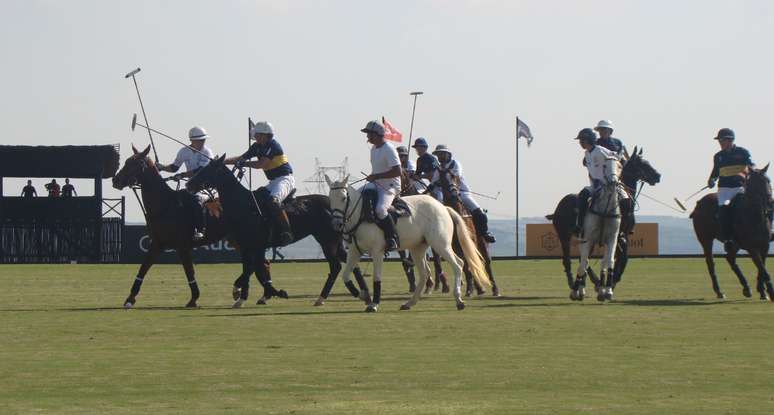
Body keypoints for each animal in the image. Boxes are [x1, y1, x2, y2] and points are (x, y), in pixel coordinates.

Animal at [186, 154, 372, 308]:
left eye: (207, 169)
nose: (188, 184)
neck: (244, 206)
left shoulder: (256, 245)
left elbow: (252, 269)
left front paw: (247, 295)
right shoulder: (248, 246)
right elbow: (252, 269)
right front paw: (243, 295)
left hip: (327, 240)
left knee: (335, 266)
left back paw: (323, 297)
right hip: (334, 240)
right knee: (349, 262)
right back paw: (360, 293)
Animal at [328, 174, 492, 314]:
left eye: (344, 198)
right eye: (330, 198)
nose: (336, 224)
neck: (361, 214)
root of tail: (443, 207)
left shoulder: (377, 251)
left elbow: (377, 277)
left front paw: (373, 304)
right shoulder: (354, 251)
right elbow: (345, 276)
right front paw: (363, 296)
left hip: (440, 244)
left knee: (458, 264)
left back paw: (459, 300)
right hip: (418, 248)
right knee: (425, 273)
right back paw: (409, 303)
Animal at [434, 164, 500, 298]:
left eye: (454, 176)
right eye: (441, 180)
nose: (454, 194)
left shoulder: (470, 241)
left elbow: (471, 262)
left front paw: (478, 288)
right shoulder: (456, 245)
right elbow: (465, 265)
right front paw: (470, 289)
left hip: (482, 242)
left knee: (487, 262)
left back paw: (494, 288)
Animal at [544, 148, 660, 290]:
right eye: (642, 164)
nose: (658, 176)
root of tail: (558, 208)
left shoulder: (621, 235)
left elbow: (618, 259)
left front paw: (609, 280)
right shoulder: (618, 237)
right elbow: (621, 259)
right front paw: (611, 280)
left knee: (583, 259)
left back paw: (590, 282)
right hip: (564, 235)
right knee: (568, 259)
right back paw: (577, 282)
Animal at [692, 163, 774, 302]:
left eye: (768, 181)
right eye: (757, 182)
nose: (770, 202)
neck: (755, 216)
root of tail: (699, 203)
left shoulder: (764, 246)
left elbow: (761, 268)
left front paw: (762, 291)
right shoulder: (751, 247)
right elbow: (763, 269)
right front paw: (770, 292)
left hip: (735, 244)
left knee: (730, 258)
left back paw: (746, 288)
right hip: (705, 239)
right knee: (711, 263)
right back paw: (719, 292)